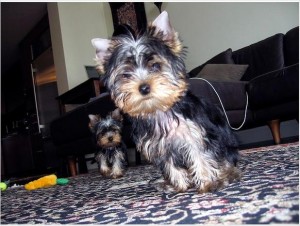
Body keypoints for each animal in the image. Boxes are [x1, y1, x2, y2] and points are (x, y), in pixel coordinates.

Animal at [90, 11, 240, 193]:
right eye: (125, 75)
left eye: (155, 66)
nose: (144, 88)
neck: (158, 110)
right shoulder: (160, 146)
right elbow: (171, 164)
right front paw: (180, 186)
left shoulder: (195, 135)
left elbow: (200, 157)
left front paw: (207, 184)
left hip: (226, 141)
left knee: (227, 159)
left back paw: (228, 174)